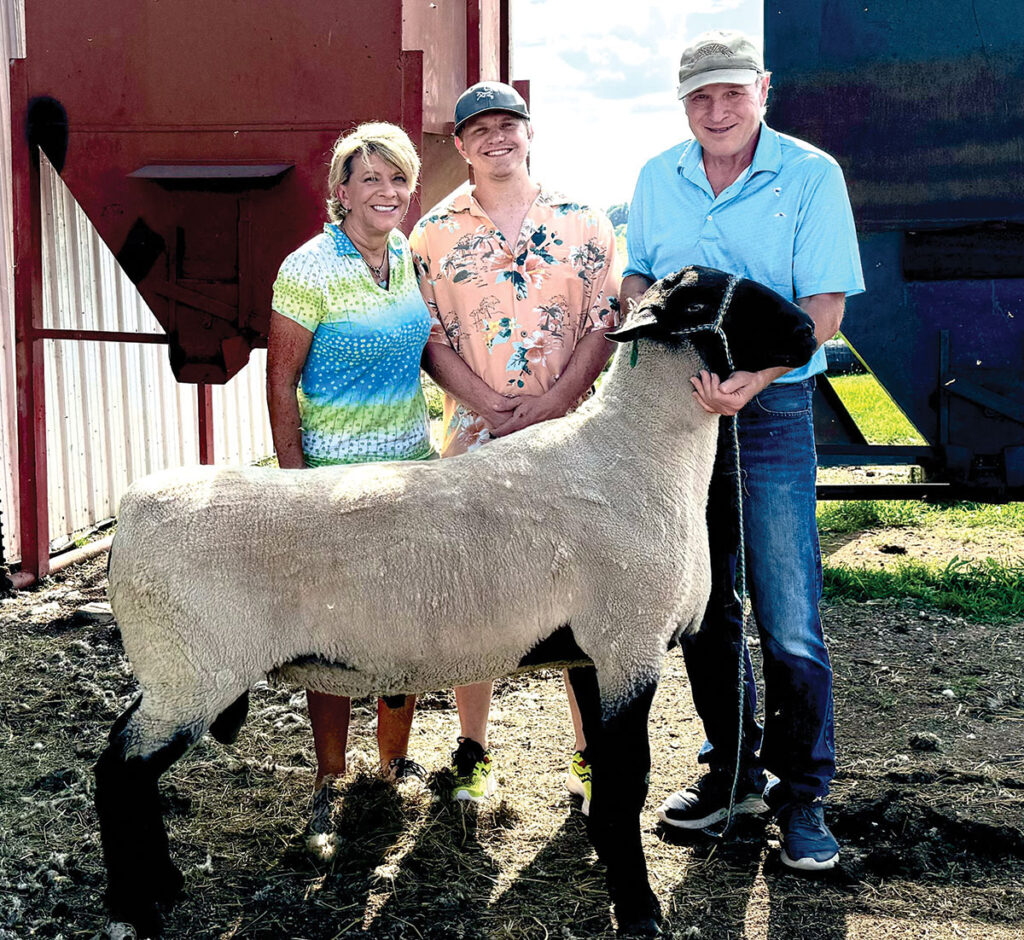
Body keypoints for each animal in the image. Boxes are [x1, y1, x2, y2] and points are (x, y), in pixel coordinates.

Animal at [96, 266, 815, 940]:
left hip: (175, 668)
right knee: (119, 772)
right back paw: (137, 904)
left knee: (131, 767)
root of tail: (130, 513)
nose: (809, 328)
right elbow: (625, 783)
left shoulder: (591, 654)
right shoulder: (627, 645)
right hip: (193, 668)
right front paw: (639, 911)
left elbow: (608, 776)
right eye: (702, 300)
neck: (636, 457)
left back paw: (162, 884)